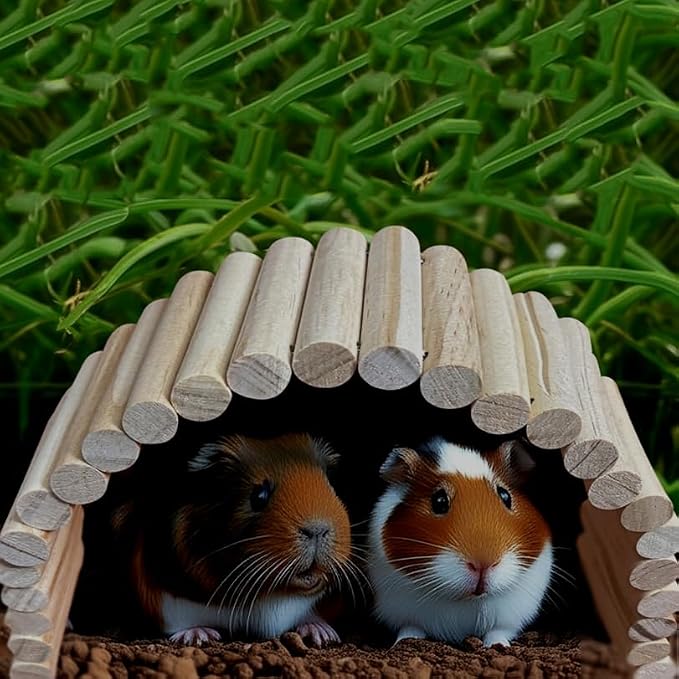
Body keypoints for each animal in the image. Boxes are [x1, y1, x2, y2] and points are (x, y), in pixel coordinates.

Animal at [367, 437, 553, 647]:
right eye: (439, 501)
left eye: (505, 495)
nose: (482, 564)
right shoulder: (403, 610)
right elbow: (411, 629)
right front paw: (403, 643)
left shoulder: (510, 616)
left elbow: (497, 632)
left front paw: (498, 647)